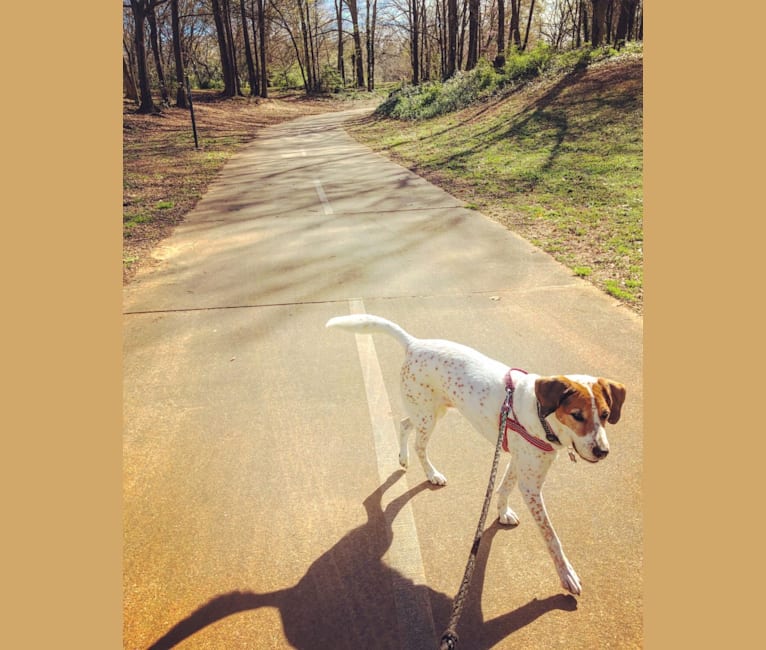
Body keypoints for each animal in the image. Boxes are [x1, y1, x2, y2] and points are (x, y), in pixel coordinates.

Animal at [328, 312, 628, 596]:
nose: (602, 452)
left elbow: (503, 488)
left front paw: (503, 512)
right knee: (419, 446)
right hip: (428, 417)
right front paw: (566, 574)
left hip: (431, 411)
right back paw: (432, 474)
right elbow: (551, 536)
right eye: (577, 415)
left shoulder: (519, 463)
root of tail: (415, 343)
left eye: (604, 415)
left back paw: (403, 458)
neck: (542, 414)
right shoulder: (531, 485)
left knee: (403, 424)